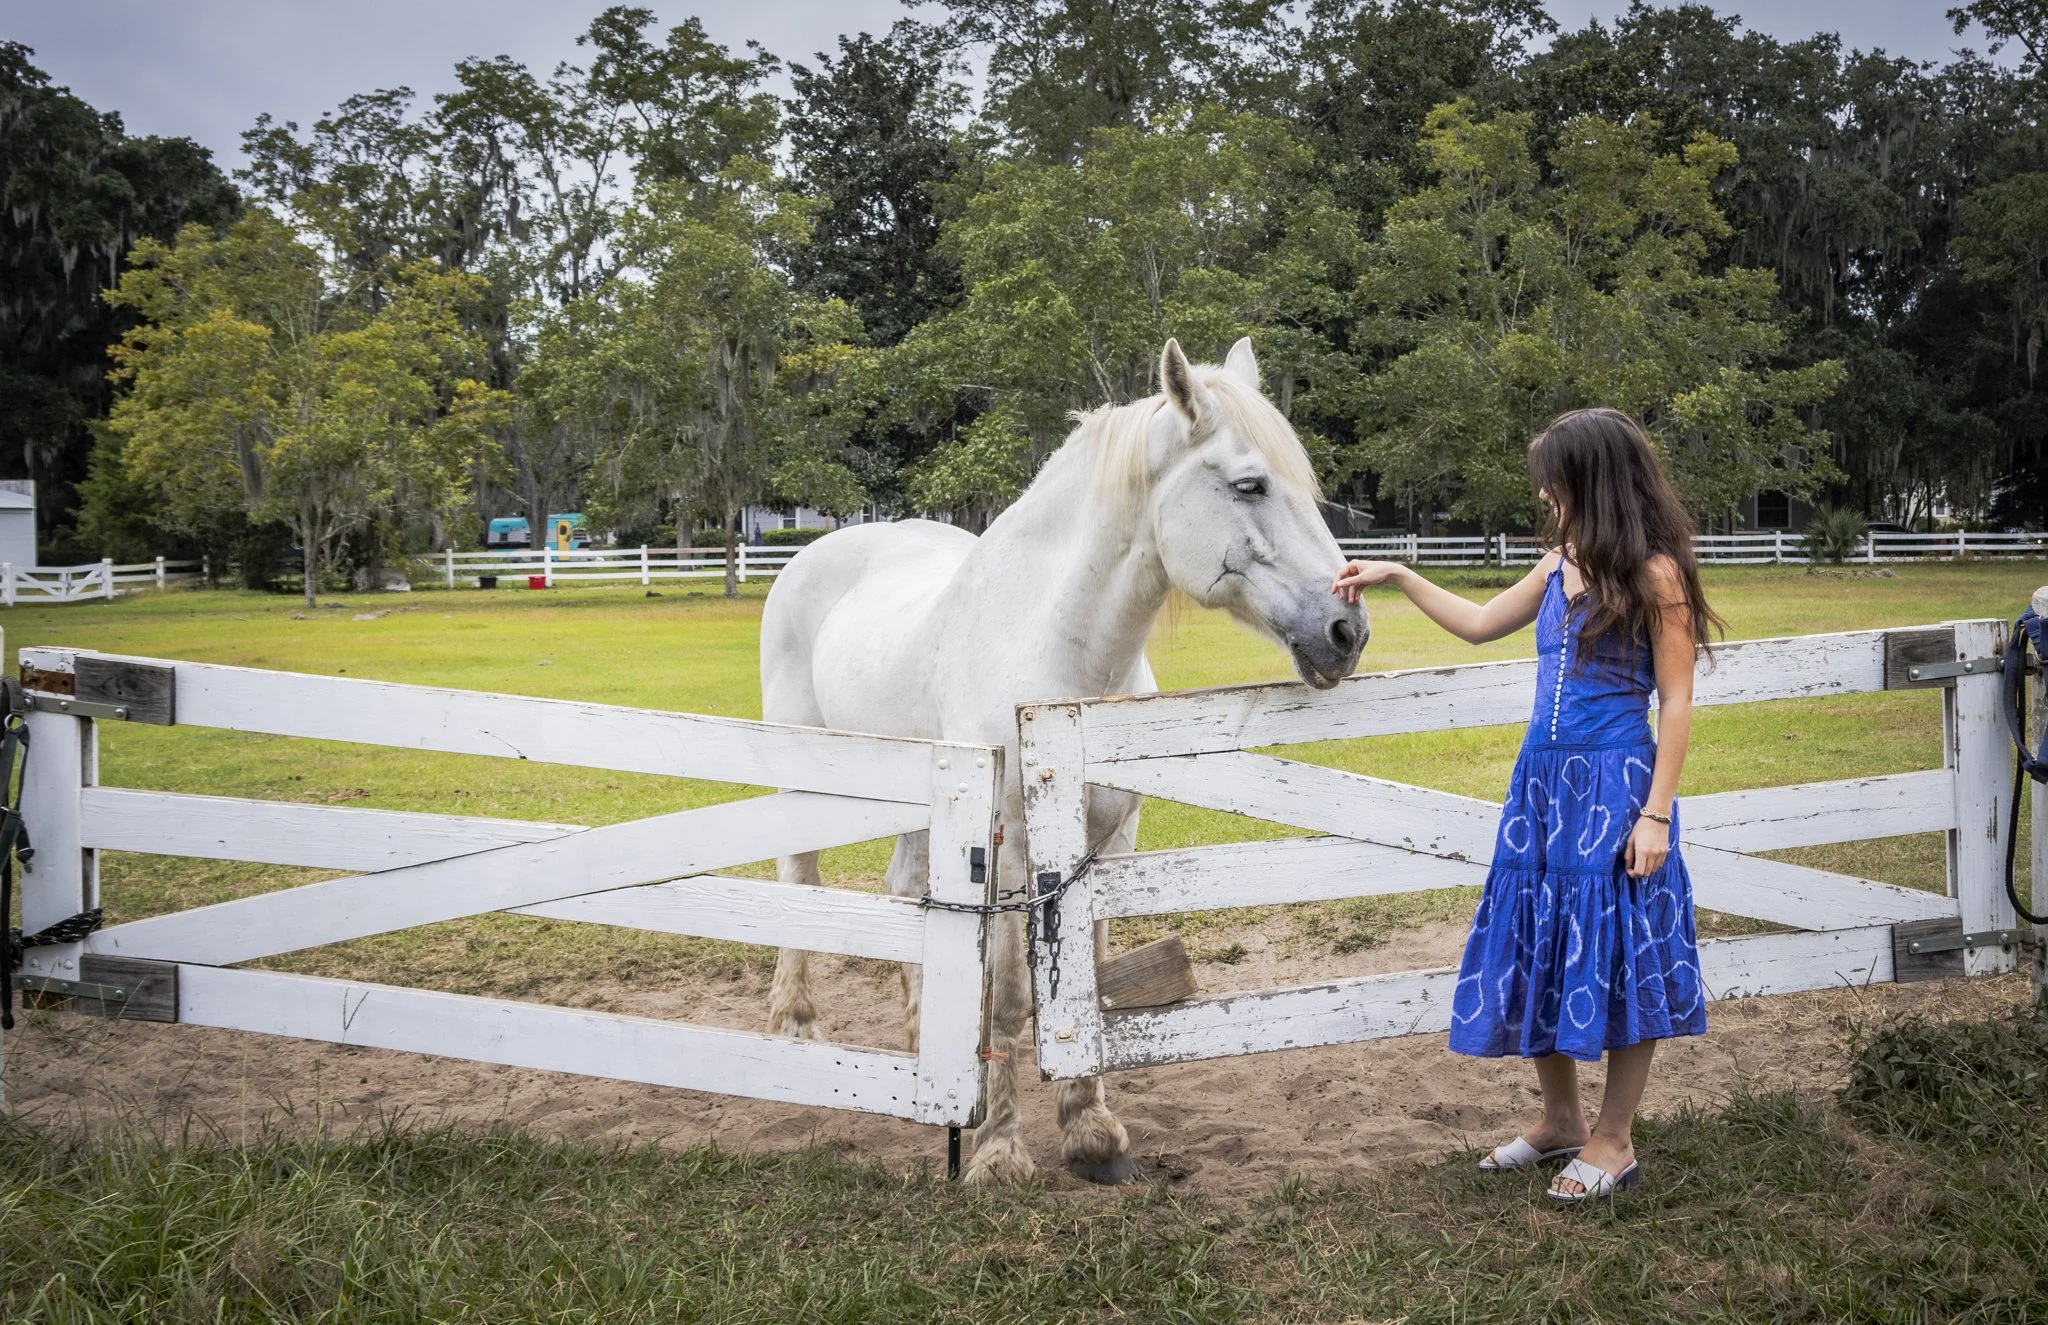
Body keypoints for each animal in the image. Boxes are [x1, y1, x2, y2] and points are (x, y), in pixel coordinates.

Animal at [759, 338, 1368, 1184]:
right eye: (1250, 484)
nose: (1348, 629)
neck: (1058, 651)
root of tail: (815, 551)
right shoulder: (1010, 848)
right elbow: (1010, 997)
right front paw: (999, 1151)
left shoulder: (1106, 837)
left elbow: (1087, 973)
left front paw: (1090, 1130)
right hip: (807, 771)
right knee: (799, 879)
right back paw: (798, 1029)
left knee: (906, 887)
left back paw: (924, 1040)